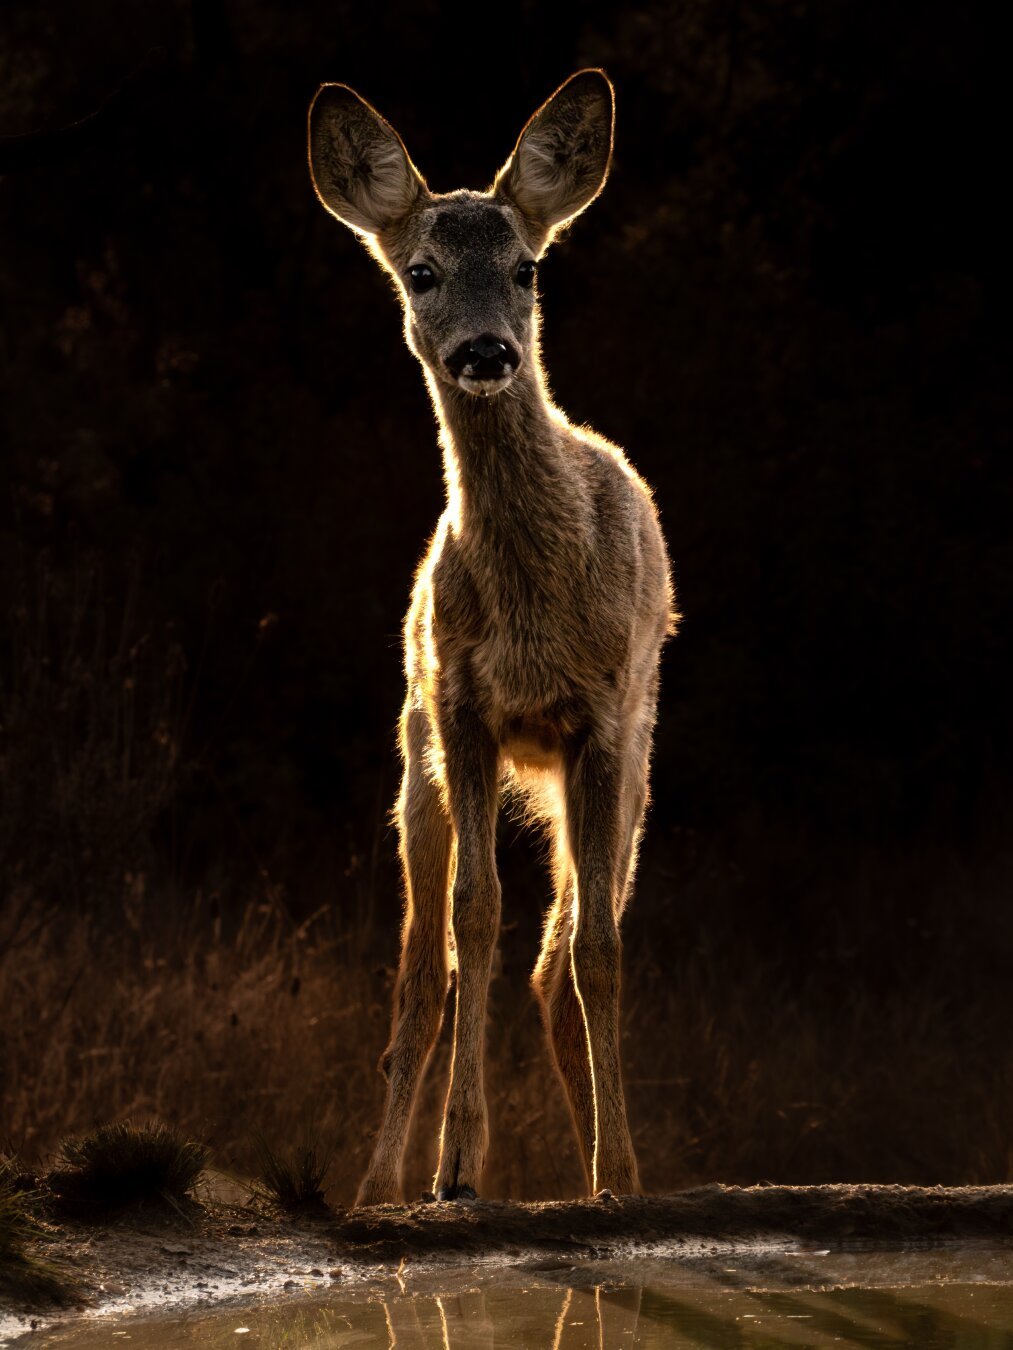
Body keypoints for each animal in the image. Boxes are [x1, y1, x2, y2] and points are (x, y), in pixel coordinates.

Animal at [307, 69, 676, 1207]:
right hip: (414, 763)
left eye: (526, 267)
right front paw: (455, 1165)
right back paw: (382, 1184)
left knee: (560, 957)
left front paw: (616, 1173)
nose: (485, 351)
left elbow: (598, 949)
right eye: (420, 273)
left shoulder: (601, 718)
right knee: (423, 973)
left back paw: (608, 1162)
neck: (529, 613)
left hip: (631, 770)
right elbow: (474, 919)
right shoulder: (464, 711)